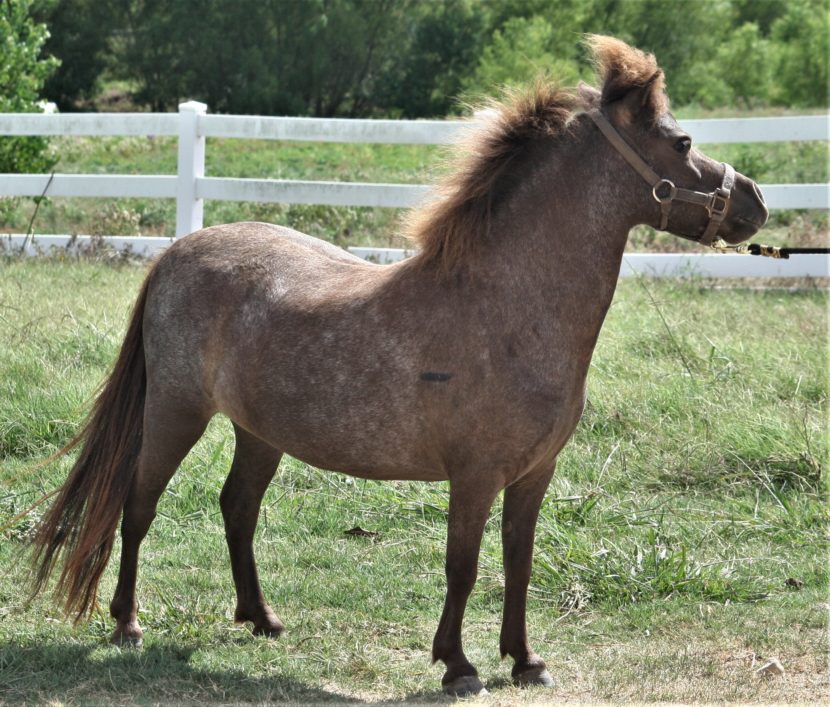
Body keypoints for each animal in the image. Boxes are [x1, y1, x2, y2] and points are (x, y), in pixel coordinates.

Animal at [31, 36, 768, 696]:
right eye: (681, 142)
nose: (755, 203)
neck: (506, 308)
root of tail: (175, 251)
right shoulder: (474, 476)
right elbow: (463, 566)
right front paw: (459, 665)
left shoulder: (534, 473)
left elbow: (519, 560)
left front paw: (526, 660)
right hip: (175, 412)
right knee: (139, 505)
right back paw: (127, 623)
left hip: (259, 432)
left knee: (237, 507)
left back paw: (263, 618)